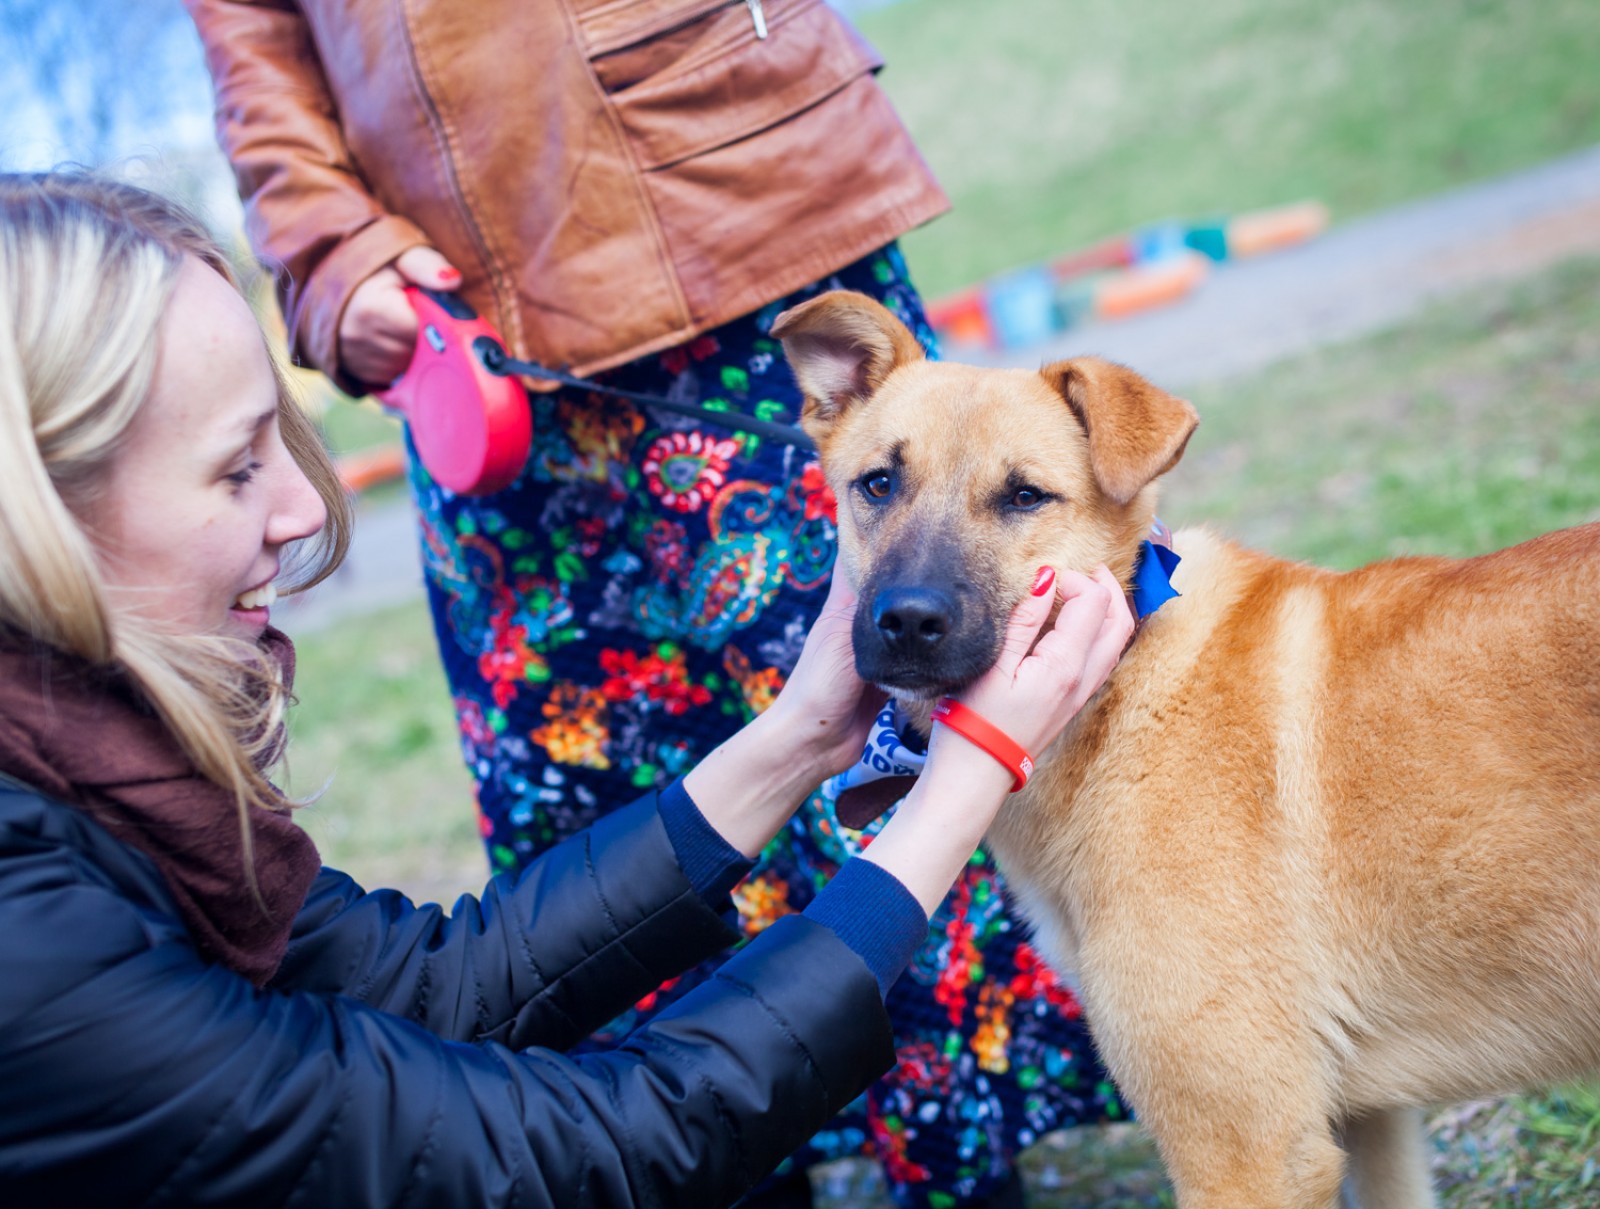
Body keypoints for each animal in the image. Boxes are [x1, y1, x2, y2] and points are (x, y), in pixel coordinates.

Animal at [768, 291, 1600, 1209]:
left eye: (1025, 496)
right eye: (878, 484)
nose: (908, 620)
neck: (1124, 686)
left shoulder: (1249, 1153)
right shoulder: (1366, 1123)